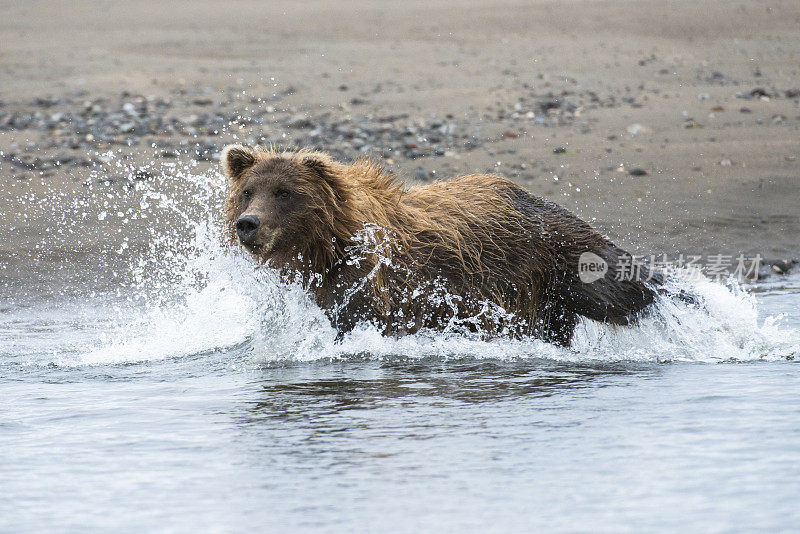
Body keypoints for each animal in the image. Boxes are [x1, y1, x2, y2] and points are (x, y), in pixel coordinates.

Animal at [222, 147, 660, 348]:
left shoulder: (373, 279)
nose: (248, 224)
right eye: (248, 191)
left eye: (284, 192)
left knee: (615, 286)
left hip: (552, 247)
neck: (329, 244)